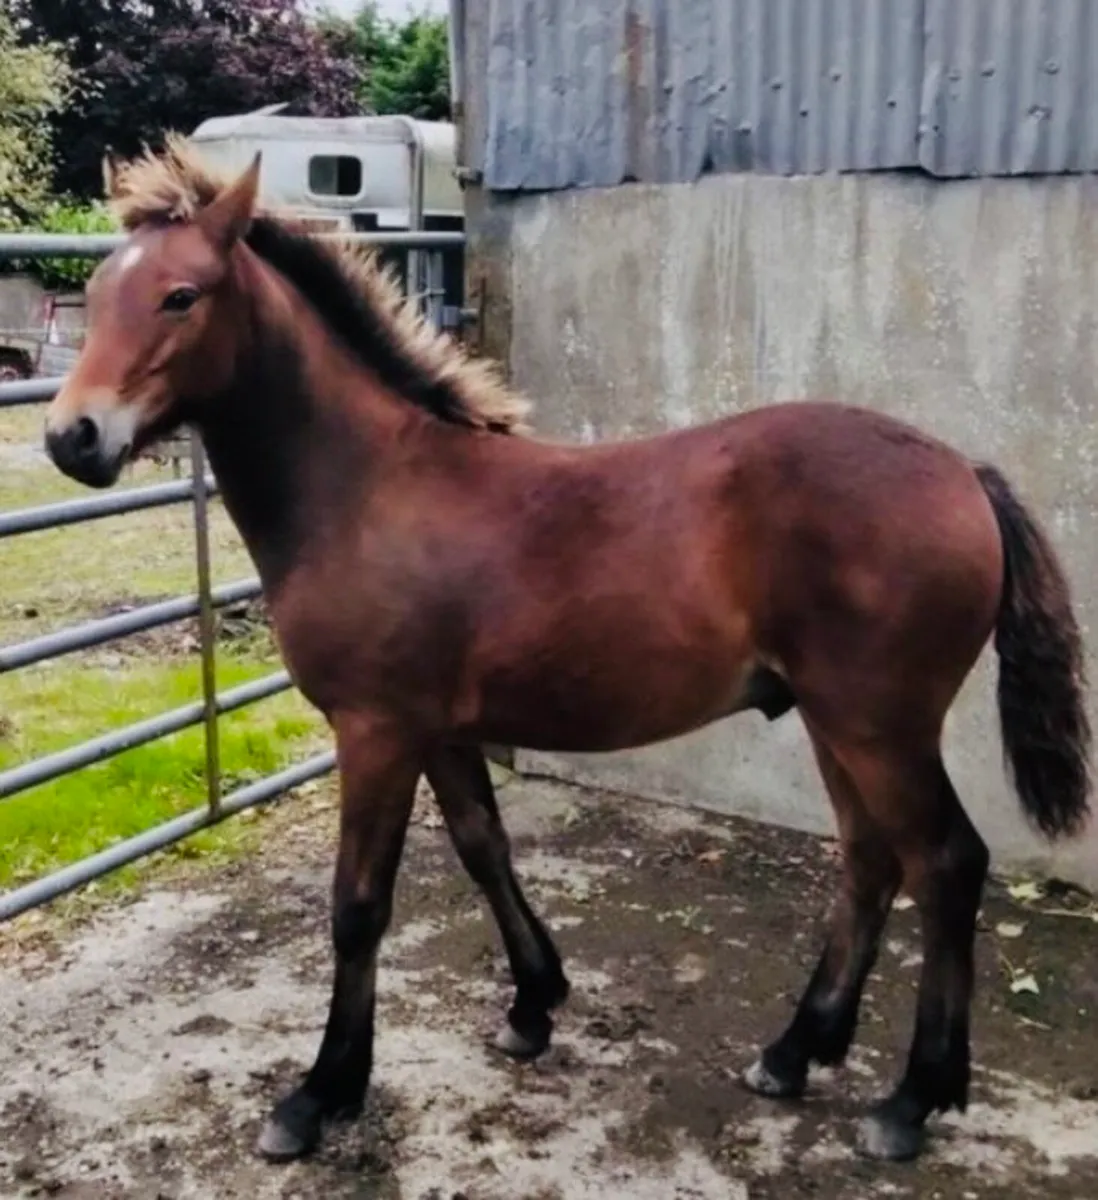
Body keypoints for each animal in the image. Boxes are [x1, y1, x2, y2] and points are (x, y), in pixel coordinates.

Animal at [42, 138, 1091, 1167]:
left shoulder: (377, 730)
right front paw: (532, 1005)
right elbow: (484, 847)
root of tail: (965, 471)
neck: (368, 489)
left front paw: (319, 1094)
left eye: (181, 296)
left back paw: (912, 1101)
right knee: (872, 862)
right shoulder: (438, 729)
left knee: (946, 864)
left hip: (880, 725)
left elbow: (358, 906)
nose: (70, 438)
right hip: (839, 723)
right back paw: (796, 1051)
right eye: (95, 293)